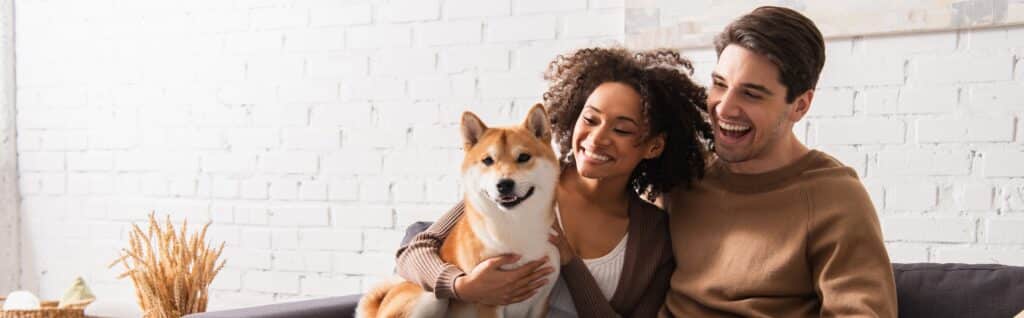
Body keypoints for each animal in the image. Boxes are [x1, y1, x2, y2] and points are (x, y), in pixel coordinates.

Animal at [354, 104, 561, 316]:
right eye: (488, 160)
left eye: (524, 157)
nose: (504, 184)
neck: (516, 225)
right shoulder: (490, 300)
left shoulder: (541, 302)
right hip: (429, 297)